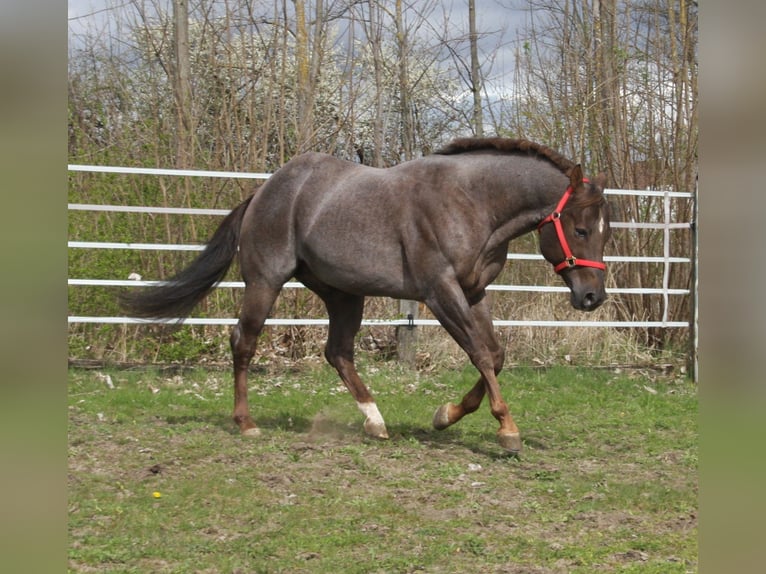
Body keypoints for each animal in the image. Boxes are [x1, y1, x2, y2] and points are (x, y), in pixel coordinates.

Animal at [121, 137, 612, 452]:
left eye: (605, 233)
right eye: (581, 230)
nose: (593, 297)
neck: (472, 202)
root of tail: (263, 191)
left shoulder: (474, 292)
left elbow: (494, 354)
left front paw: (446, 414)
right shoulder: (440, 292)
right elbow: (480, 354)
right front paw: (507, 431)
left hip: (343, 294)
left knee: (337, 352)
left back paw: (375, 422)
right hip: (264, 282)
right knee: (244, 342)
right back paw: (246, 423)